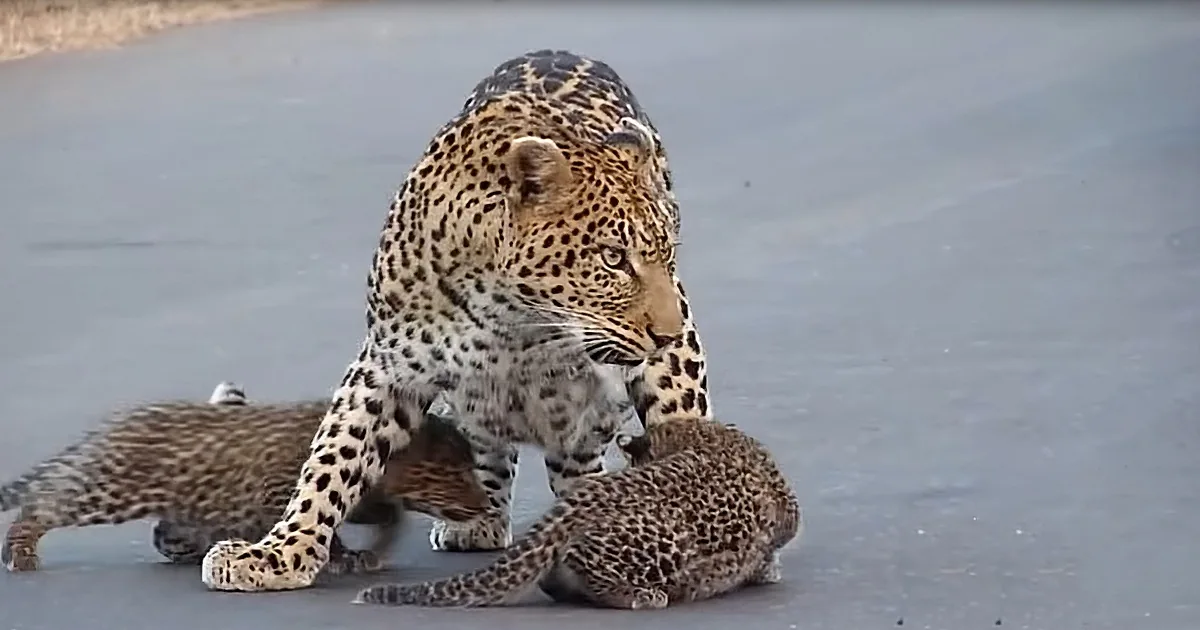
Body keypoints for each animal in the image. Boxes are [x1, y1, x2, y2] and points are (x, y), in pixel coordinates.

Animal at [1, 380, 490, 573]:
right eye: (456, 474)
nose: (485, 504)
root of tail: (121, 420)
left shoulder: (365, 497)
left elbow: (387, 515)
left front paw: (376, 549)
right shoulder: (280, 493)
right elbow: (325, 528)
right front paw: (344, 556)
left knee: (165, 530)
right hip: (114, 488)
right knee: (45, 501)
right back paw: (20, 551)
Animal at [200, 48, 714, 592]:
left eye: (665, 256)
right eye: (613, 258)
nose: (665, 333)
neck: (513, 315)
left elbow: (681, 430)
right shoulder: (386, 366)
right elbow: (333, 459)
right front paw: (278, 553)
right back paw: (480, 517)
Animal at [353, 418, 803, 609]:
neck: (700, 437)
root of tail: (571, 508)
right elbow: (770, 553)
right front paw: (769, 571)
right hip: (666, 539)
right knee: (587, 565)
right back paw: (642, 597)